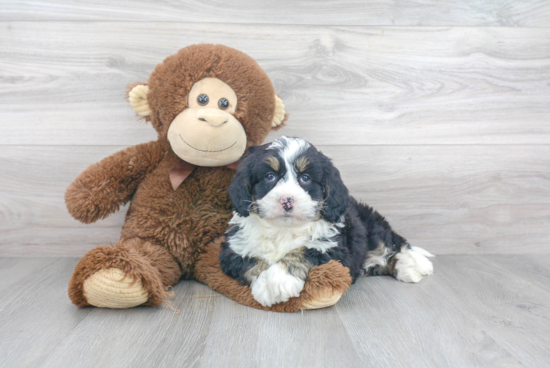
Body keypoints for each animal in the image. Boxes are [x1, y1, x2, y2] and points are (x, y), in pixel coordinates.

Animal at [220, 137, 436, 306]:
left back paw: (414, 263)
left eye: (306, 178)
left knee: (393, 244)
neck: (284, 229)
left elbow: (303, 251)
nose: (287, 200)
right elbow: (250, 260)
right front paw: (268, 283)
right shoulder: (232, 249)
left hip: (372, 224)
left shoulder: (335, 249)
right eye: (270, 176)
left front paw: (278, 280)